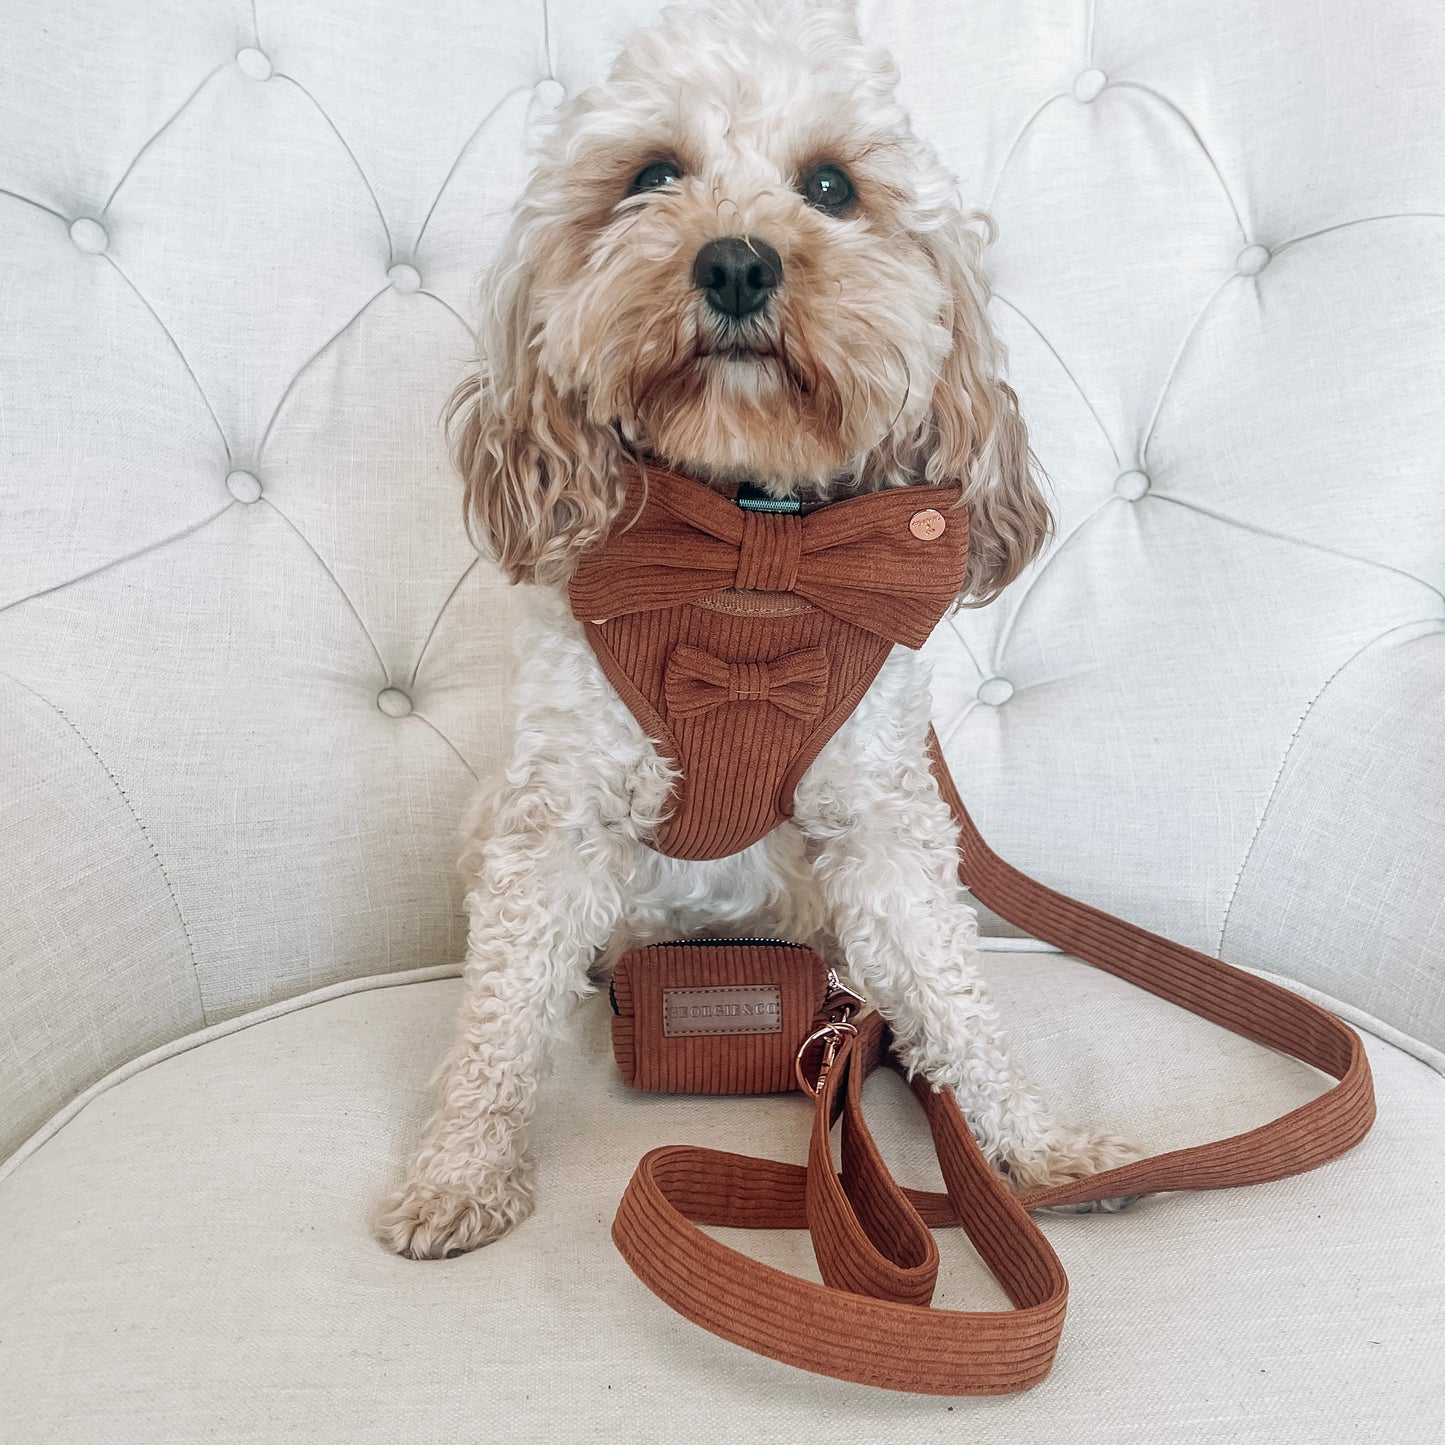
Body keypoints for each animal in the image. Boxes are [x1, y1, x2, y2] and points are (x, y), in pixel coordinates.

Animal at [381, 0, 1138, 1260]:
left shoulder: (882, 822)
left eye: (829, 184)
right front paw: (460, 1167)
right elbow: (498, 1009)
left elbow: (953, 995)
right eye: (651, 174)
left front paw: (1036, 1144)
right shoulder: (555, 816)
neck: (746, 542)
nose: (735, 259)